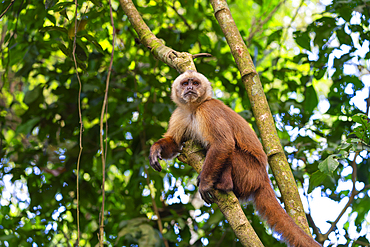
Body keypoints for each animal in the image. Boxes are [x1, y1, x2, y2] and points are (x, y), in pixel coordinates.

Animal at [149, 70, 322, 246]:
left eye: (195, 83)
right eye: (185, 83)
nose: (190, 88)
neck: (194, 108)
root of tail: (264, 176)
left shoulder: (208, 109)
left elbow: (223, 143)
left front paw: (204, 184)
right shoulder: (180, 114)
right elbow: (175, 143)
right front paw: (156, 150)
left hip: (250, 171)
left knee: (229, 151)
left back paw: (224, 184)